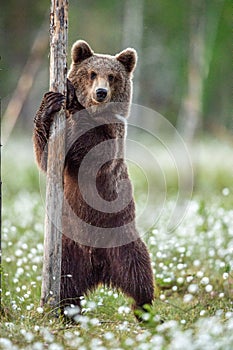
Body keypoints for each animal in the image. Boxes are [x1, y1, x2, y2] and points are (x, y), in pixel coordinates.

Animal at [32, 39, 153, 318]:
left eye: (112, 76)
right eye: (91, 73)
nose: (100, 92)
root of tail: (98, 267)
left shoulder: (113, 136)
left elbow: (96, 150)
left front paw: (72, 98)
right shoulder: (61, 143)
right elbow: (45, 155)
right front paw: (51, 101)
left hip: (122, 239)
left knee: (140, 273)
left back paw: (145, 310)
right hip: (68, 249)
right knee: (65, 283)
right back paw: (69, 314)